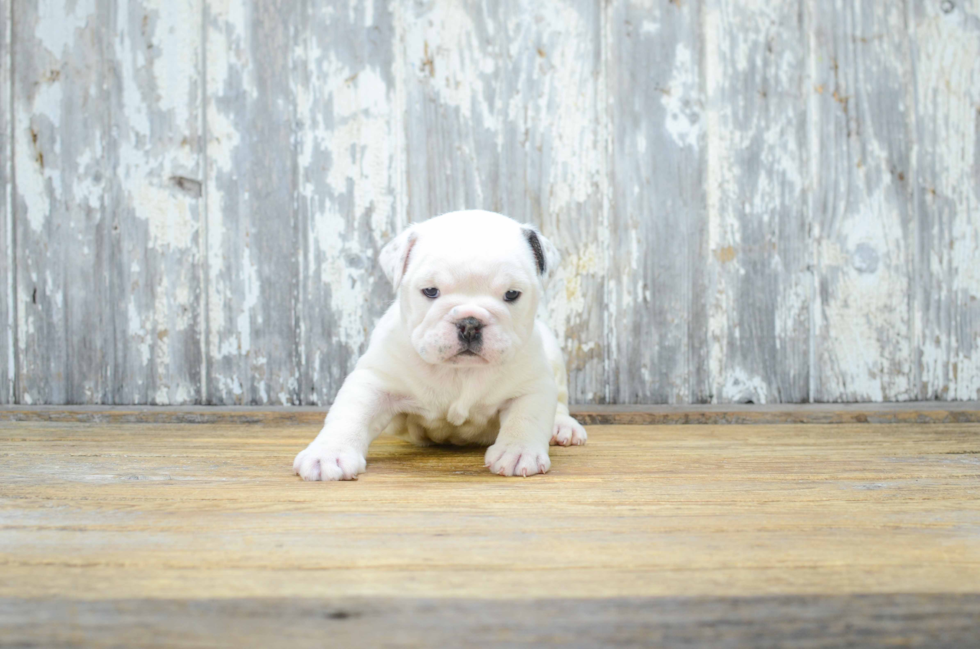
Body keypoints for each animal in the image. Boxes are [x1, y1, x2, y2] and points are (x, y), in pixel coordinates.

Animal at [290, 210, 580, 478]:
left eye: (511, 294)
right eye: (430, 291)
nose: (469, 323)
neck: (460, 370)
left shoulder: (533, 385)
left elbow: (526, 418)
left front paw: (518, 451)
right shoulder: (374, 382)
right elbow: (349, 415)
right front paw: (329, 454)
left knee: (560, 401)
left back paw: (562, 427)